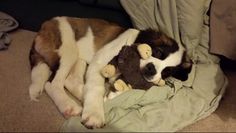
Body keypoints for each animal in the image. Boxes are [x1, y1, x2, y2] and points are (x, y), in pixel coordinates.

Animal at [28, 16, 191, 129]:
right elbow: (96, 87)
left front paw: (113, 94)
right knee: (52, 84)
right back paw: (70, 106)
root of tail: (45, 25)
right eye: (157, 52)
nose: (152, 69)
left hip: (79, 60)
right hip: (68, 49)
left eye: (166, 72)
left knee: (70, 80)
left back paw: (84, 96)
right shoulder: (99, 63)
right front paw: (94, 114)